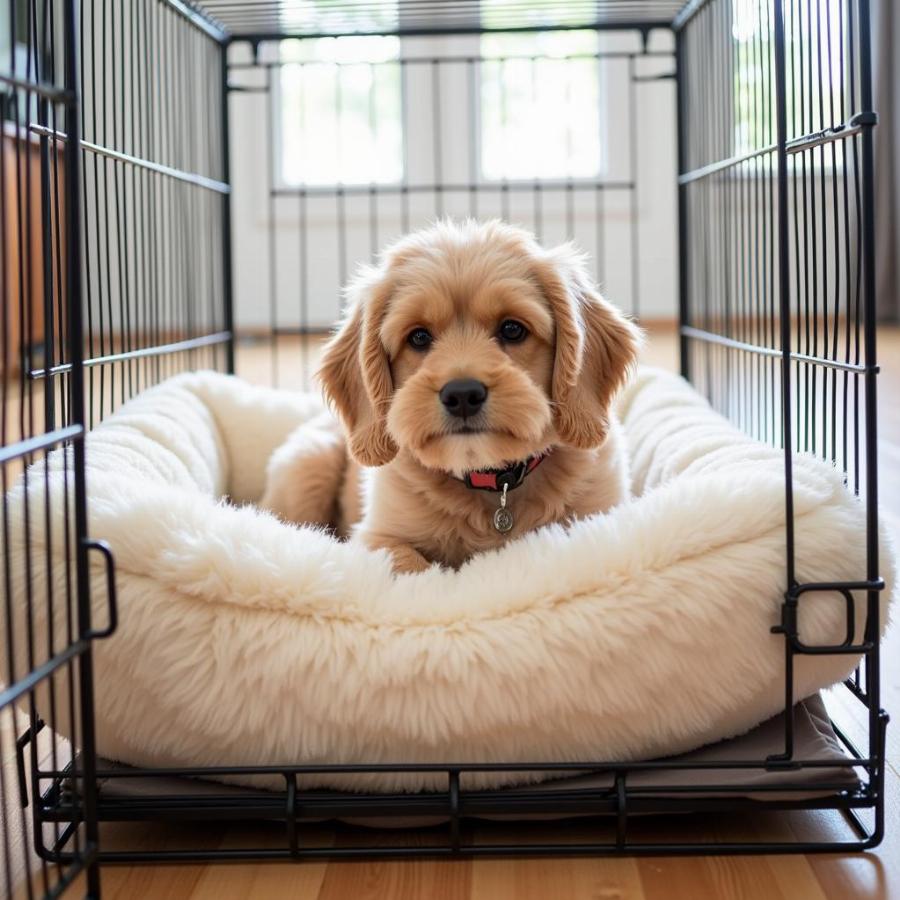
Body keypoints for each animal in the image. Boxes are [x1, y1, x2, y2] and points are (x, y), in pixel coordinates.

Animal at [260, 219, 640, 572]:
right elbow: (411, 567)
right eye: (418, 337)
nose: (462, 395)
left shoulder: (600, 519)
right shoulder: (376, 539)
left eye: (512, 329)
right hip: (307, 466)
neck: (493, 485)